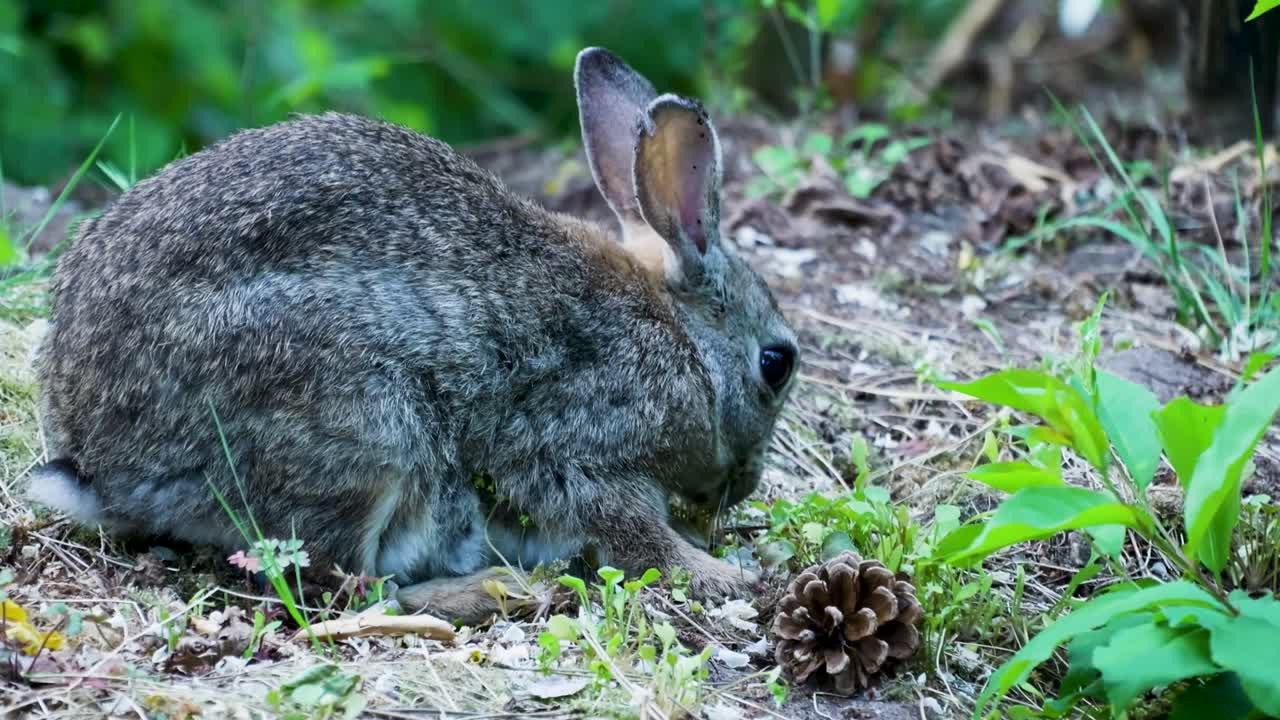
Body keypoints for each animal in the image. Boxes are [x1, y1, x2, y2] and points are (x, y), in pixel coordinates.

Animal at [27, 47, 799, 624]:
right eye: (776, 364)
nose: (743, 487)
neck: (683, 341)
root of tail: (101, 469)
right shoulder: (575, 442)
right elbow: (630, 528)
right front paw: (720, 574)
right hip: (369, 426)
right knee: (350, 587)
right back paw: (491, 588)